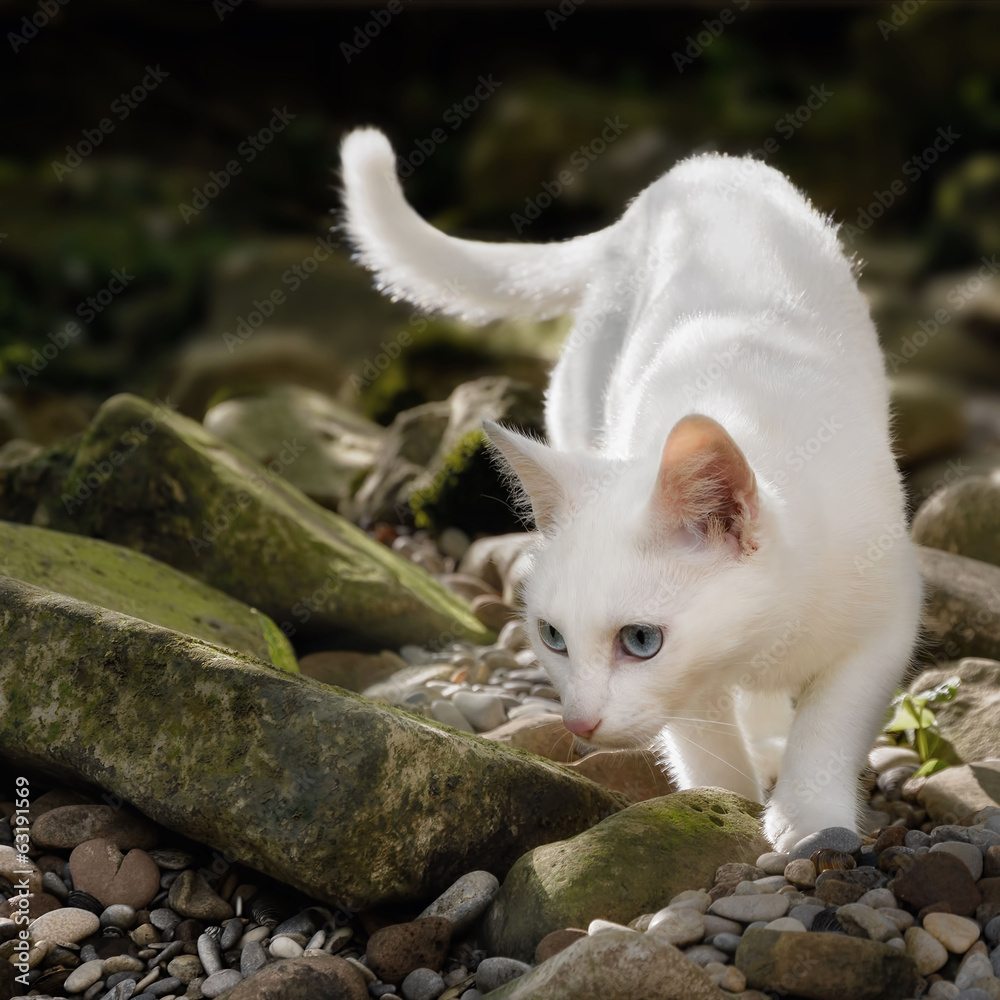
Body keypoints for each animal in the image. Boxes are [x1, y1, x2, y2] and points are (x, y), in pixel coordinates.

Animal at [342, 127, 920, 852]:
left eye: (640, 641)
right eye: (552, 637)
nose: (578, 724)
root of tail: (690, 174)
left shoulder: (886, 622)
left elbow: (829, 728)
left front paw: (809, 823)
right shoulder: (694, 687)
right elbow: (706, 744)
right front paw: (718, 810)